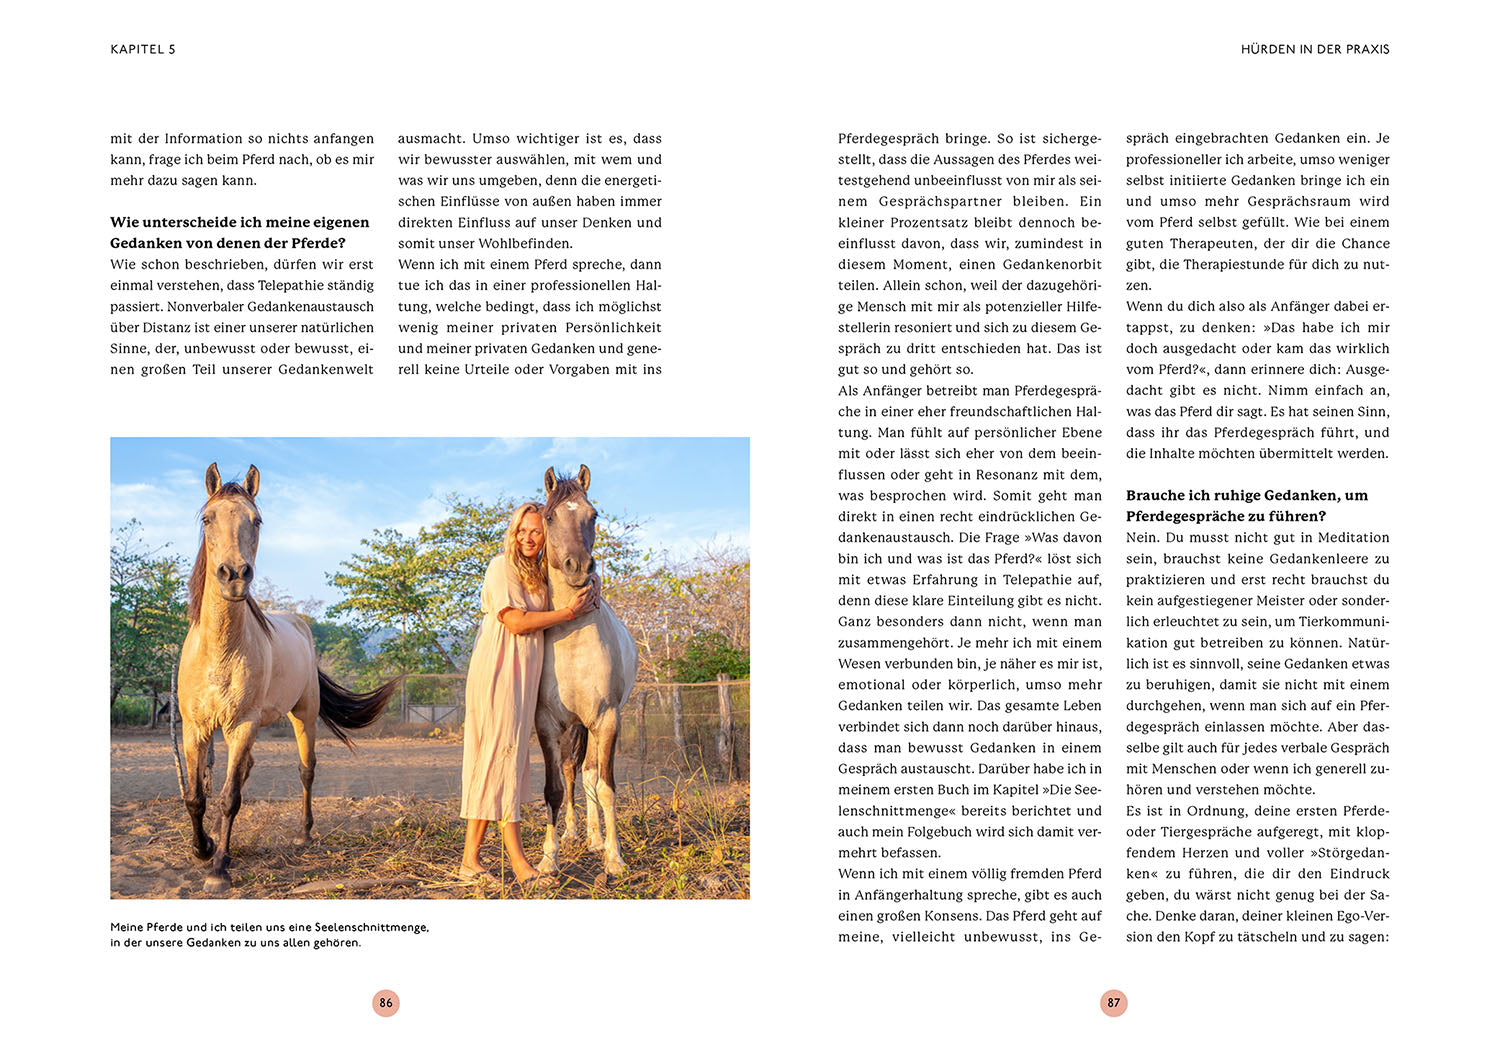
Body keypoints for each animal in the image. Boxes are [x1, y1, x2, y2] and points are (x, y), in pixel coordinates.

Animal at [176, 463, 400, 892]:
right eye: (208, 518)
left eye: (257, 520)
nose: (234, 575)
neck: (218, 651)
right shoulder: (195, 727)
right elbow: (196, 797)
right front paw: (204, 848)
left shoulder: (242, 725)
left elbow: (228, 797)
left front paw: (218, 870)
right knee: (245, 773)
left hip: (303, 715)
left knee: (306, 769)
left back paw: (303, 833)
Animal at [534, 465, 639, 877]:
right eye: (549, 517)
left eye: (592, 515)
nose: (578, 568)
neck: (573, 644)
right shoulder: (547, 724)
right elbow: (553, 789)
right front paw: (548, 861)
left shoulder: (607, 720)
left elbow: (606, 786)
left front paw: (614, 858)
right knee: (571, 771)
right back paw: (573, 833)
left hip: (591, 726)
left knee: (591, 775)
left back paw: (595, 838)